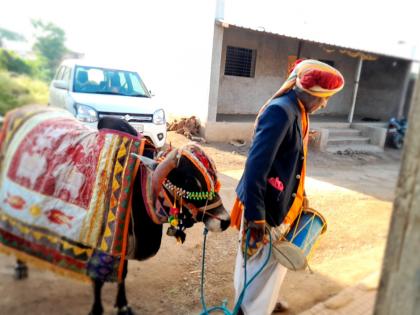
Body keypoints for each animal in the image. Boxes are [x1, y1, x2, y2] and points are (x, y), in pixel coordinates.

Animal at [0, 107, 230, 315]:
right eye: (190, 182)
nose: (225, 221)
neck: (138, 184)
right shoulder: (101, 241)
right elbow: (98, 278)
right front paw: (96, 309)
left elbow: (123, 273)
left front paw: (122, 304)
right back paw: (21, 264)